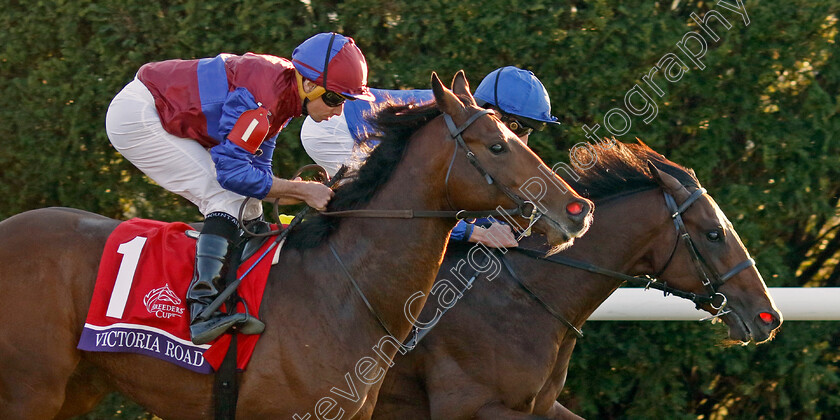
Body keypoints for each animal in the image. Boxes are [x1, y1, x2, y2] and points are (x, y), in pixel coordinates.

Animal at [0, 73, 592, 420]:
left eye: (517, 135)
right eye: (496, 145)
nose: (576, 209)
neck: (341, 291)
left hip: (76, 387)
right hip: (29, 389)